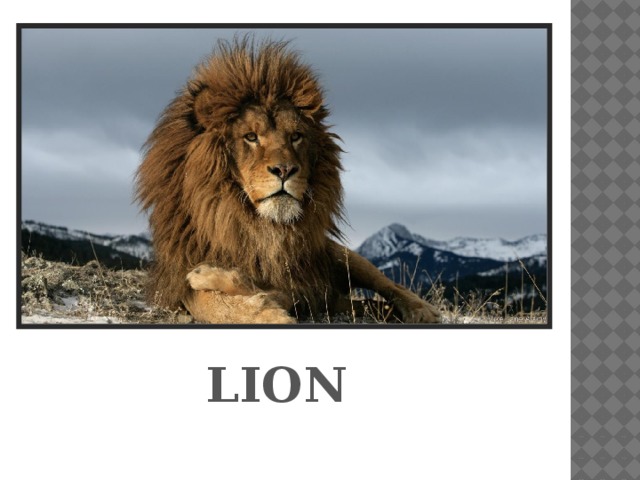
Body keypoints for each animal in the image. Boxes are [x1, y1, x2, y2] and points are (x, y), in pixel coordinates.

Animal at [136, 38, 440, 324]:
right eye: (251, 136)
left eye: (295, 136)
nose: (284, 169)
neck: (258, 226)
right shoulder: (179, 276)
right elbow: (214, 304)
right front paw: (260, 308)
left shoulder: (302, 283)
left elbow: (265, 290)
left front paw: (242, 294)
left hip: (343, 257)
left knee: (392, 286)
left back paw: (423, 311)